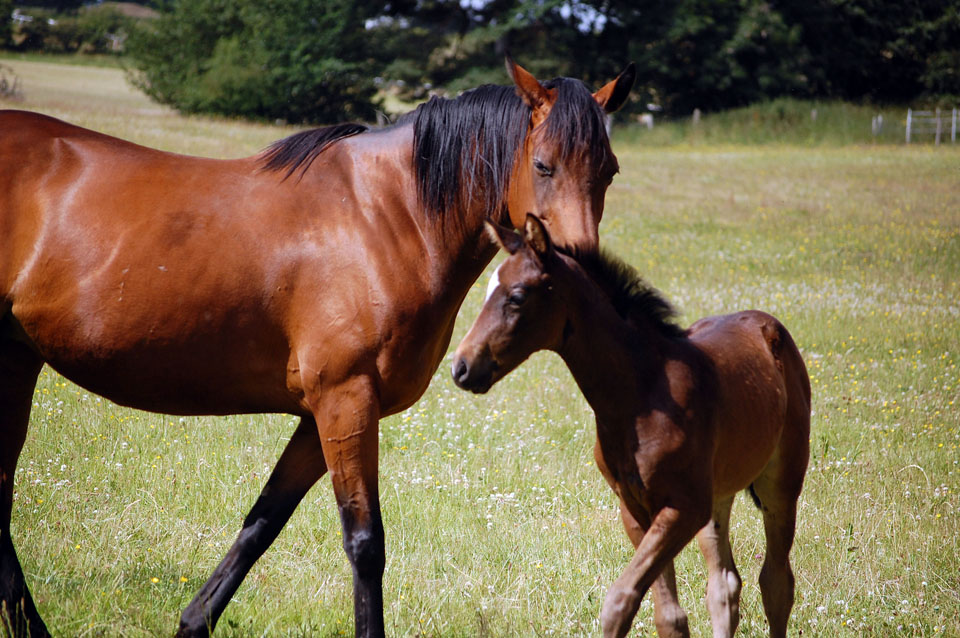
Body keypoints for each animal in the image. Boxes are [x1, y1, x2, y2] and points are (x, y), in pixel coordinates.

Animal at [0, 58, 636, 637]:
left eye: (608, 171)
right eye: (543, 164)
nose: (581, 275)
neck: (385, 218)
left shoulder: (320, 415)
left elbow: (262, 523)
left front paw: (194, 623)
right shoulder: (345, 401)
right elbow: (365, 542)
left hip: (15, 359)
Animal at [452, 216, 811, 638]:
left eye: (518, 296)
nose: (461, 366)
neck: (639, 396)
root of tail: (768, 324)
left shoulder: (684, 507)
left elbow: (619, 600)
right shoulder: (635, 508)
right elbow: (668, 617)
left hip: (780, 484)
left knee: (776, 582)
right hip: (718, 494)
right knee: (724, 585)